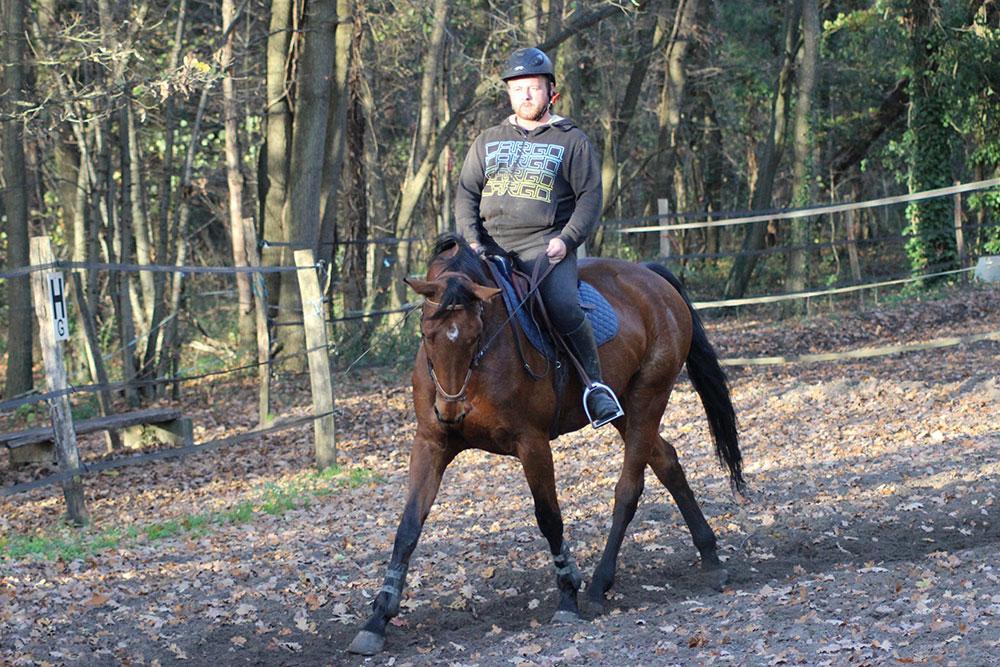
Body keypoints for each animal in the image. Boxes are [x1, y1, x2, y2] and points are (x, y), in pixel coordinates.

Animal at [348, 236, 748, 656]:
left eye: (474, 336)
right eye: (427, 336)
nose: (450, 411)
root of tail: (650, 276)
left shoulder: (532, 443)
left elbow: (549, 517)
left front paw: (568, 595)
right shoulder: (431, 444)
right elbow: (408, 527)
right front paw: (377, 620)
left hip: (648, 397)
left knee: (629, 488)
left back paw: (599, 585)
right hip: (624, 405)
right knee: (667, 461)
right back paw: (711, 557)